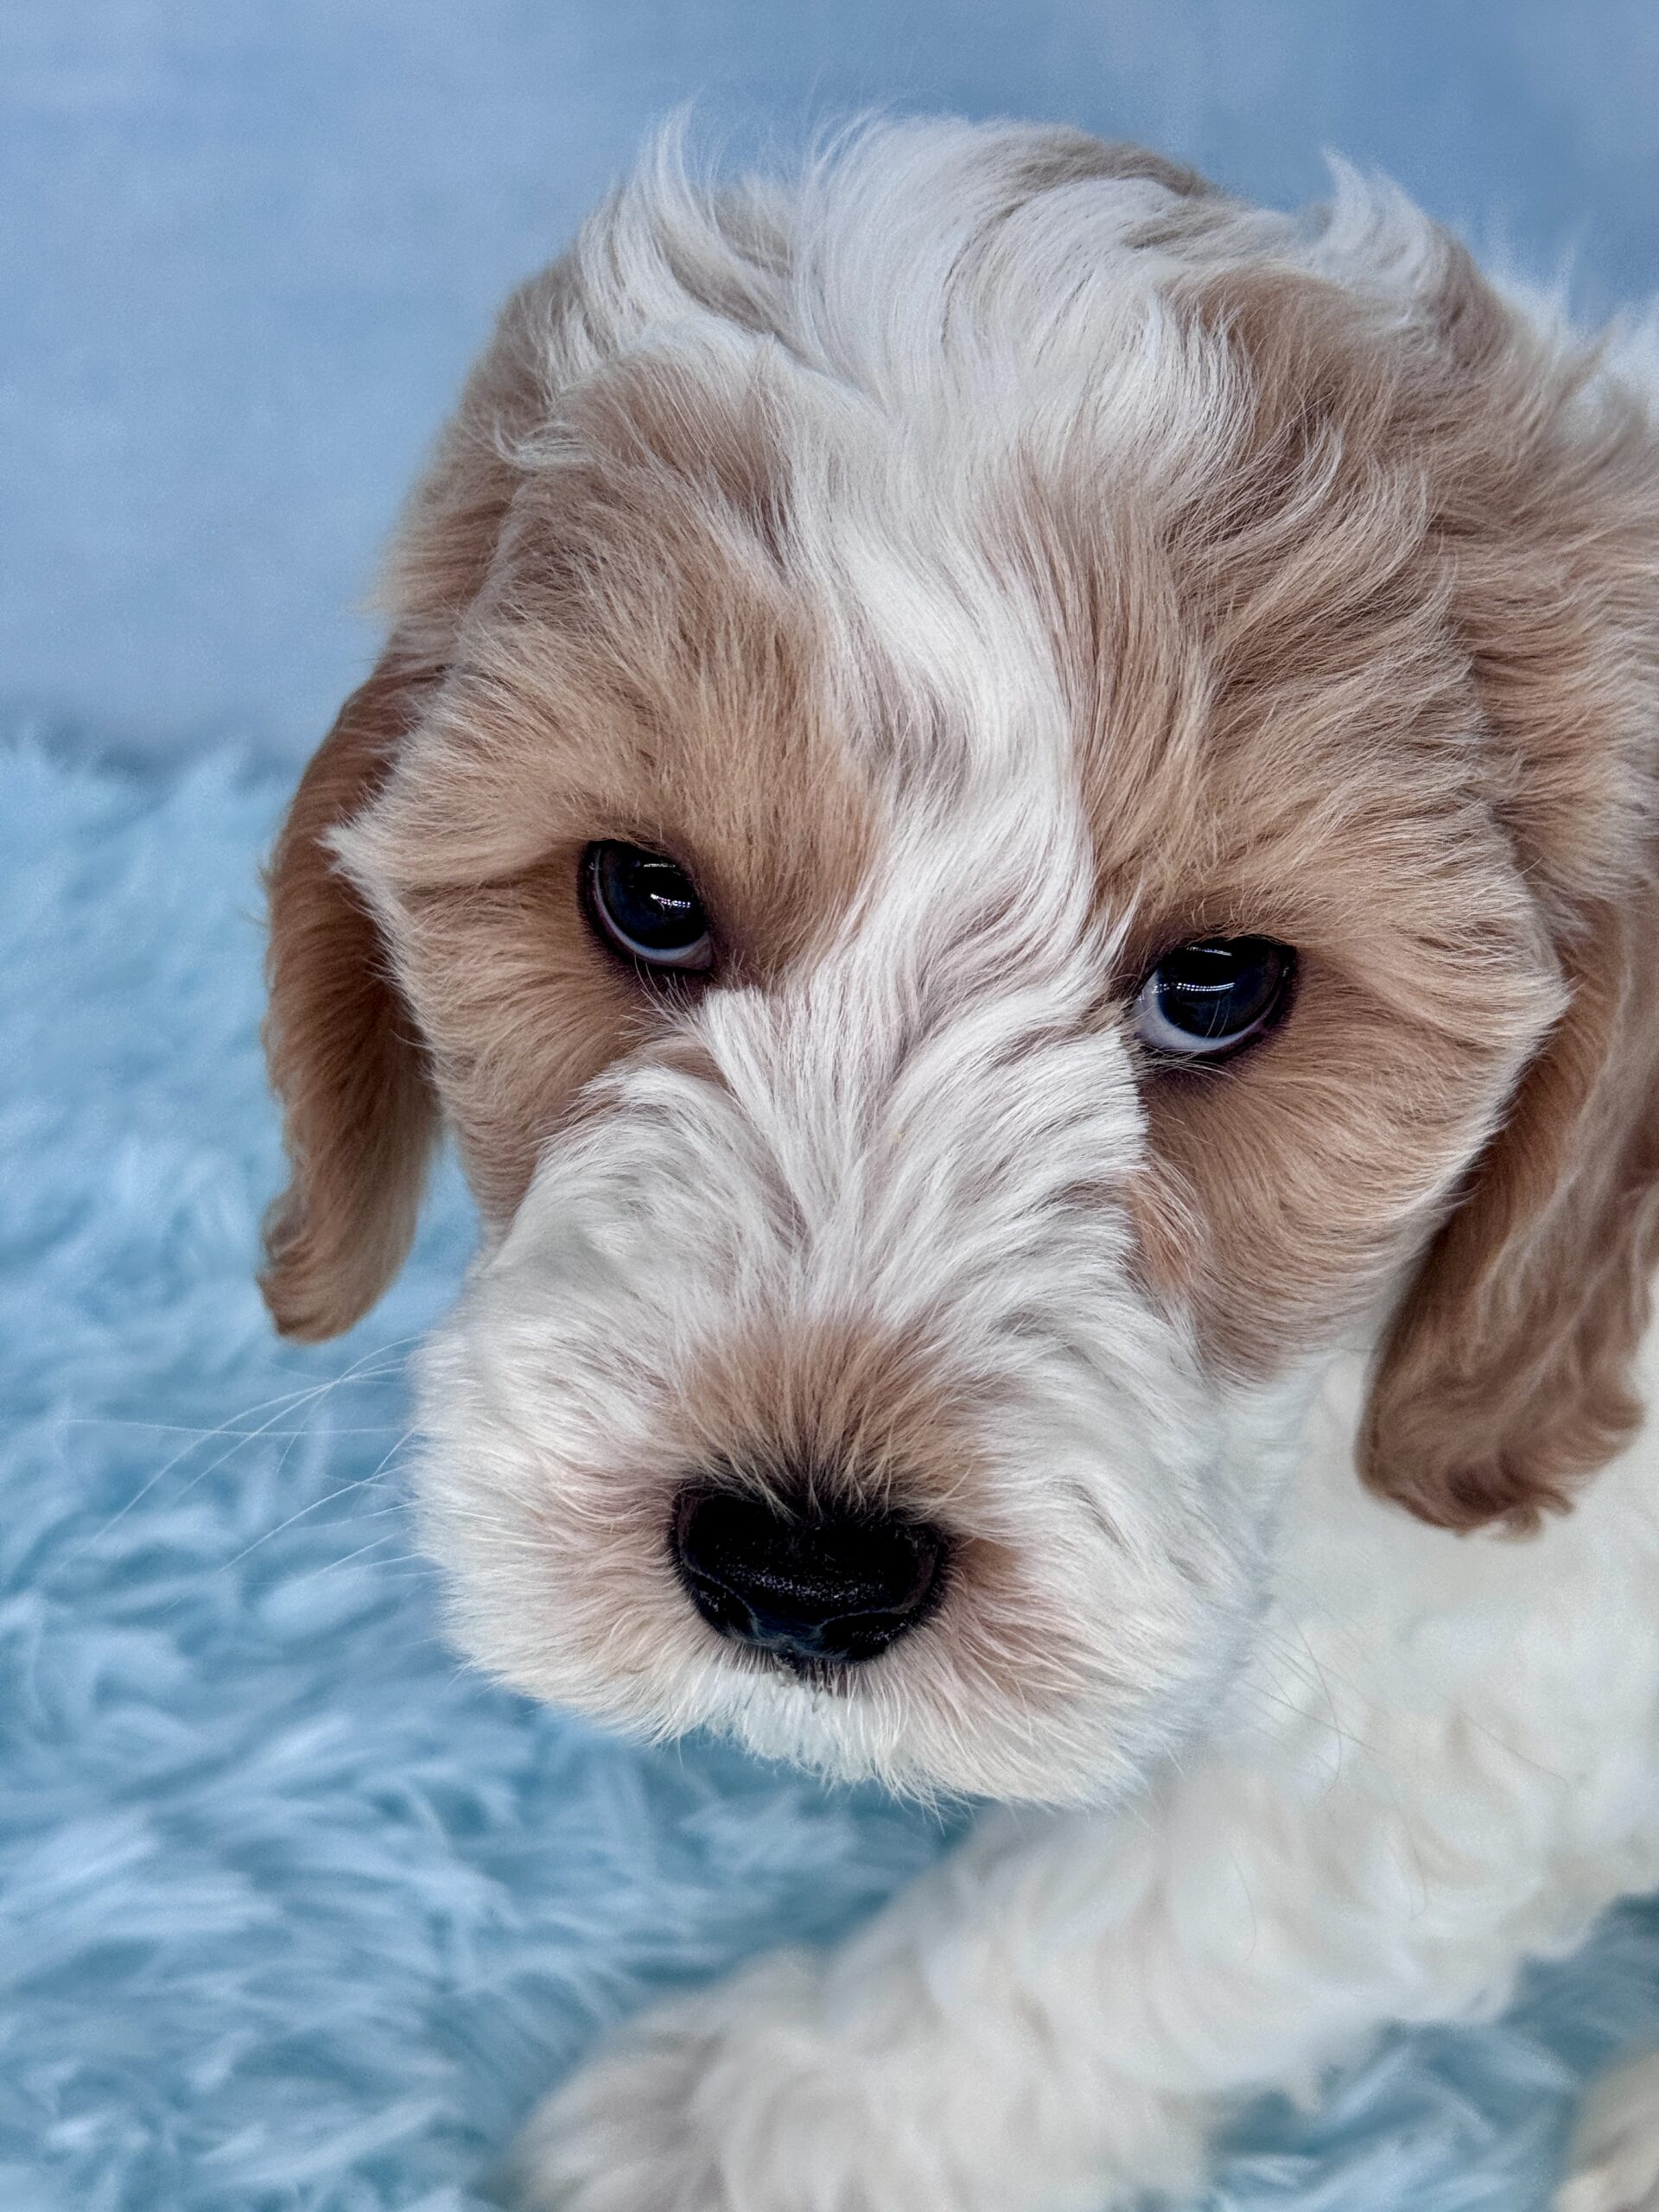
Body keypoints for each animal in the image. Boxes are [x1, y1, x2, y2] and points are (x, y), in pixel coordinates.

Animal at [258, 118, 1659, 2211]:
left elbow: (1117, 1927)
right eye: (646, 896)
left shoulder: (1484, 1683)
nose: (797, 1567)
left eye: (1219, 989)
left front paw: (758, 2120)